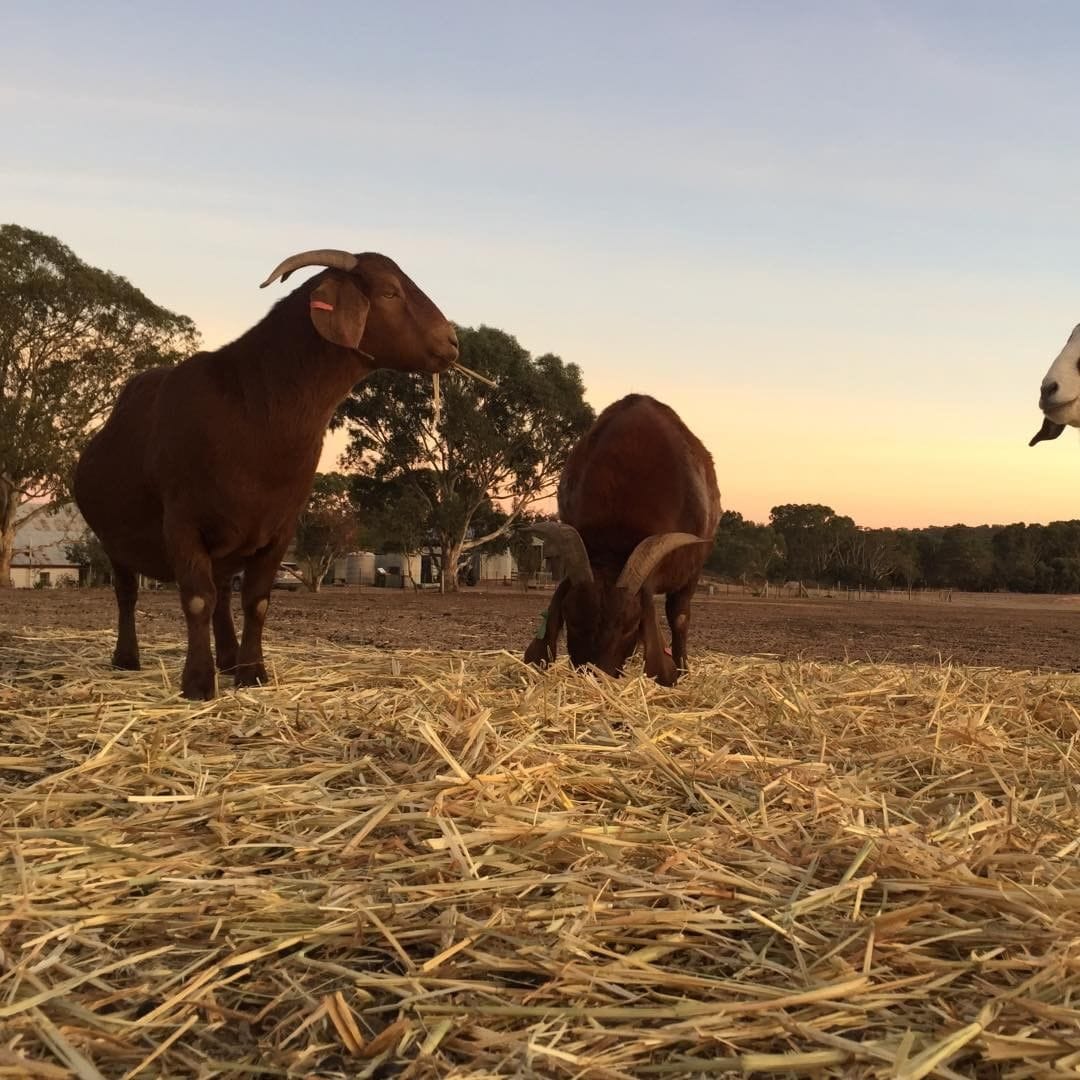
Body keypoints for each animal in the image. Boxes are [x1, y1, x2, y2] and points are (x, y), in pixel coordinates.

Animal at [74, 248, 458, 700]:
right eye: (390, 291)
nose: (452, 342)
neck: (253, 409)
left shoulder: (279, 528)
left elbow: (256, 601)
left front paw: (251, 672)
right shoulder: (182, 521)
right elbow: (197, 599)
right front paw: (198, 682)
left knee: (223, 593)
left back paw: (227, 657)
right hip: (114, 542)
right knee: (128, 594)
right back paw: (127, 658)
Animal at [522, 394, 721, 685]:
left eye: (630, 625)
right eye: (571, 618)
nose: (595, 677)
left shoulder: (691, 570)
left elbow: (680, 617)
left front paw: (680, 672)